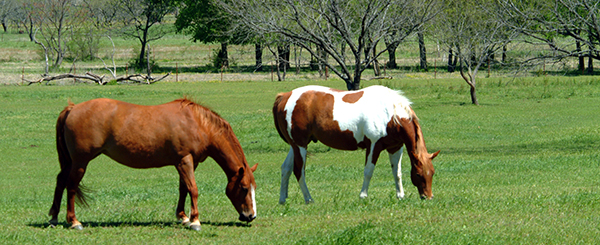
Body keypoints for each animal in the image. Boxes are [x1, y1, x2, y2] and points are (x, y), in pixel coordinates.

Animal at [48, 97, 258, 230]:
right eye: (244, 188)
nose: (250, 216)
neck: (197, 123)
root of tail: (72, 108)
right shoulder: (185, 160)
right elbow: (194, 189)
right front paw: (195, 221)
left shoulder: (186, 163)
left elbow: (184, 188)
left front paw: (183, 217)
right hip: (80, 162)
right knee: (71, 186)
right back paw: (74, 221)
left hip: (70, 162)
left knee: (60, 181)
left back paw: (54, 217)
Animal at [274, 85, 438, 204]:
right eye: (419, 174)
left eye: (432, 172)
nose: (428, 197)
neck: (390, 114)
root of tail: (285, 96)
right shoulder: (373, 146)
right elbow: (368, 171)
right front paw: (363, 195)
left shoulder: (395, 148)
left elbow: (397, 173)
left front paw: (400, 196)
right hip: (300, 146)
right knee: (299, 171)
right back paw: (309, 199)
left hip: (296, 146)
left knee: (286, 168)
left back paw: (282, 199)